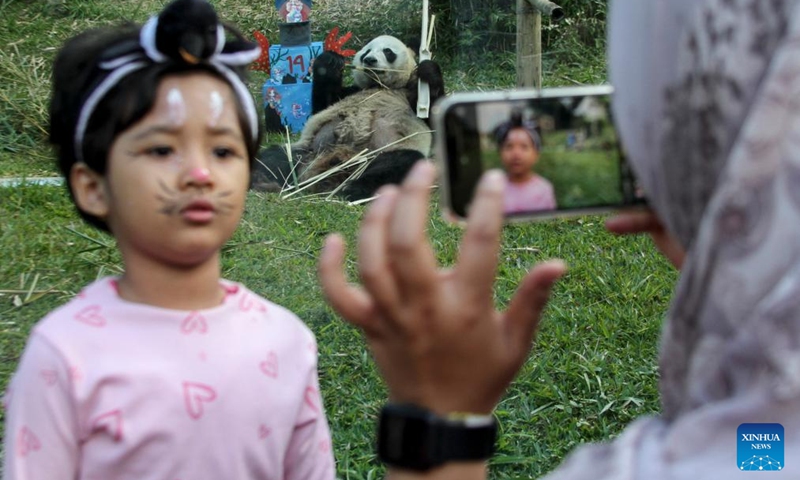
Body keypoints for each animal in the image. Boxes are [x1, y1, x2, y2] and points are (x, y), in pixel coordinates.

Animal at [253, 33, 446, 199]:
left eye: (388, 51)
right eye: (367, 52)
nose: (369, 60)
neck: (379, 86)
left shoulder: (411, 95)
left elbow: (434, 122)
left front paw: (428, 70)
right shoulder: (352, 91)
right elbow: (323, 104)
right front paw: (330, 61)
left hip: (384, 151)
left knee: (399, 163)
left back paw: (353, 189)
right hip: (308, 149)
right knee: (275, 157)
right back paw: (261, 180)